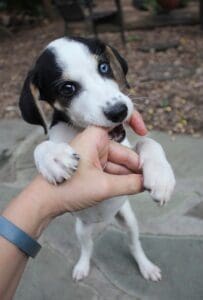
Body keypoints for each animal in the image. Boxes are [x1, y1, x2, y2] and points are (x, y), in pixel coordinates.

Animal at [19, 37, 175, 282]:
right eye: (67, 88)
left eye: (103, 67)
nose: (119, 111)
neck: (79, 130)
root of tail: (104, 221)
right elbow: (41, 146)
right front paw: (54, 157)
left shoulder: (127, 155)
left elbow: (149, 142)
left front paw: (161, 176)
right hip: (81, 228)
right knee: (87, 247)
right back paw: (82, 266)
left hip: (128, 219)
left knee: (134, 244)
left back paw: (146, 266)